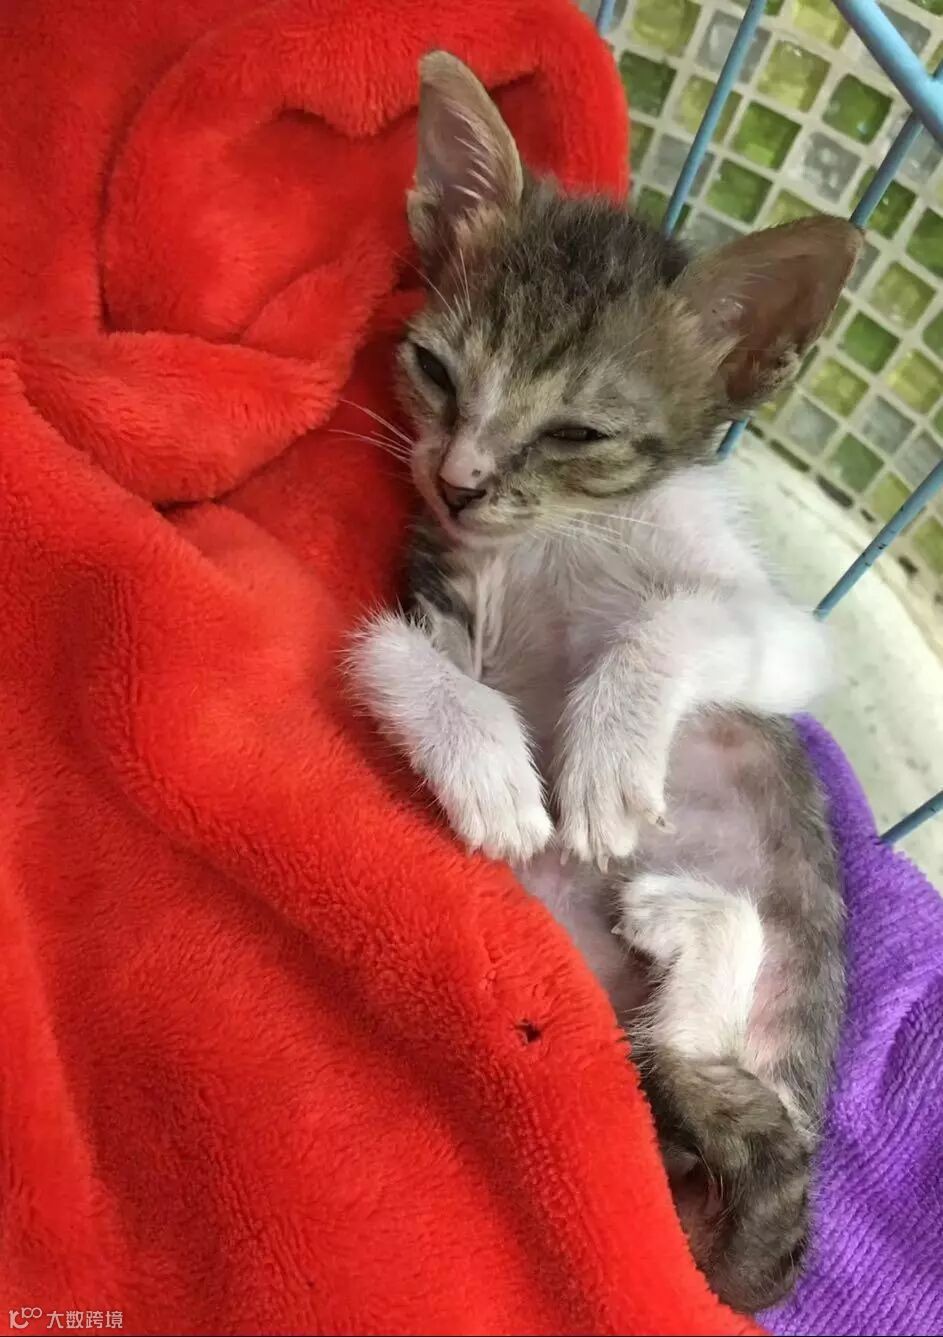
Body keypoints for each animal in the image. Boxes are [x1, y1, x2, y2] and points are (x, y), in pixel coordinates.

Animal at [349, 51, 859, 1313]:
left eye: (577, 432)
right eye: (434, 369)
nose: (458, 479)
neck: (557, 536)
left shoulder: (781, 630)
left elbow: (677, 623)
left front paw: (607, 756)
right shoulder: (434, 588)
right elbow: (387, 650)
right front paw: (488, 766)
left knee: (743, 1115)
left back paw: (686, 918)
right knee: (685, 1078)